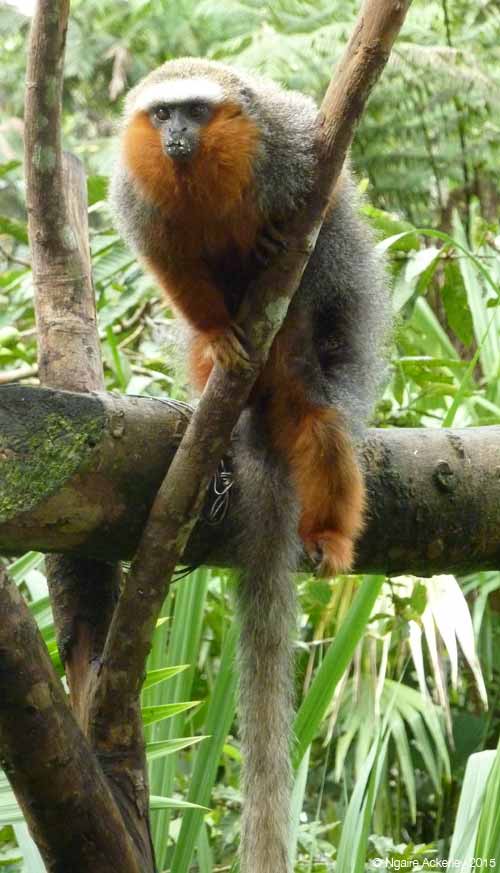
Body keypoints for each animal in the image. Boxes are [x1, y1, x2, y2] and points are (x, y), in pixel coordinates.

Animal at [110, 57, 389, 873]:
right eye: (163, 114)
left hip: (297, 364)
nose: (174, 134)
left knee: (322, 424)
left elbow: (332, 219)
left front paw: (280, 244)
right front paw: (215, 330)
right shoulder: (136, 195)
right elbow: (166, 259)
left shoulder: (297, 145)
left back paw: (328, 532)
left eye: (195, 113)